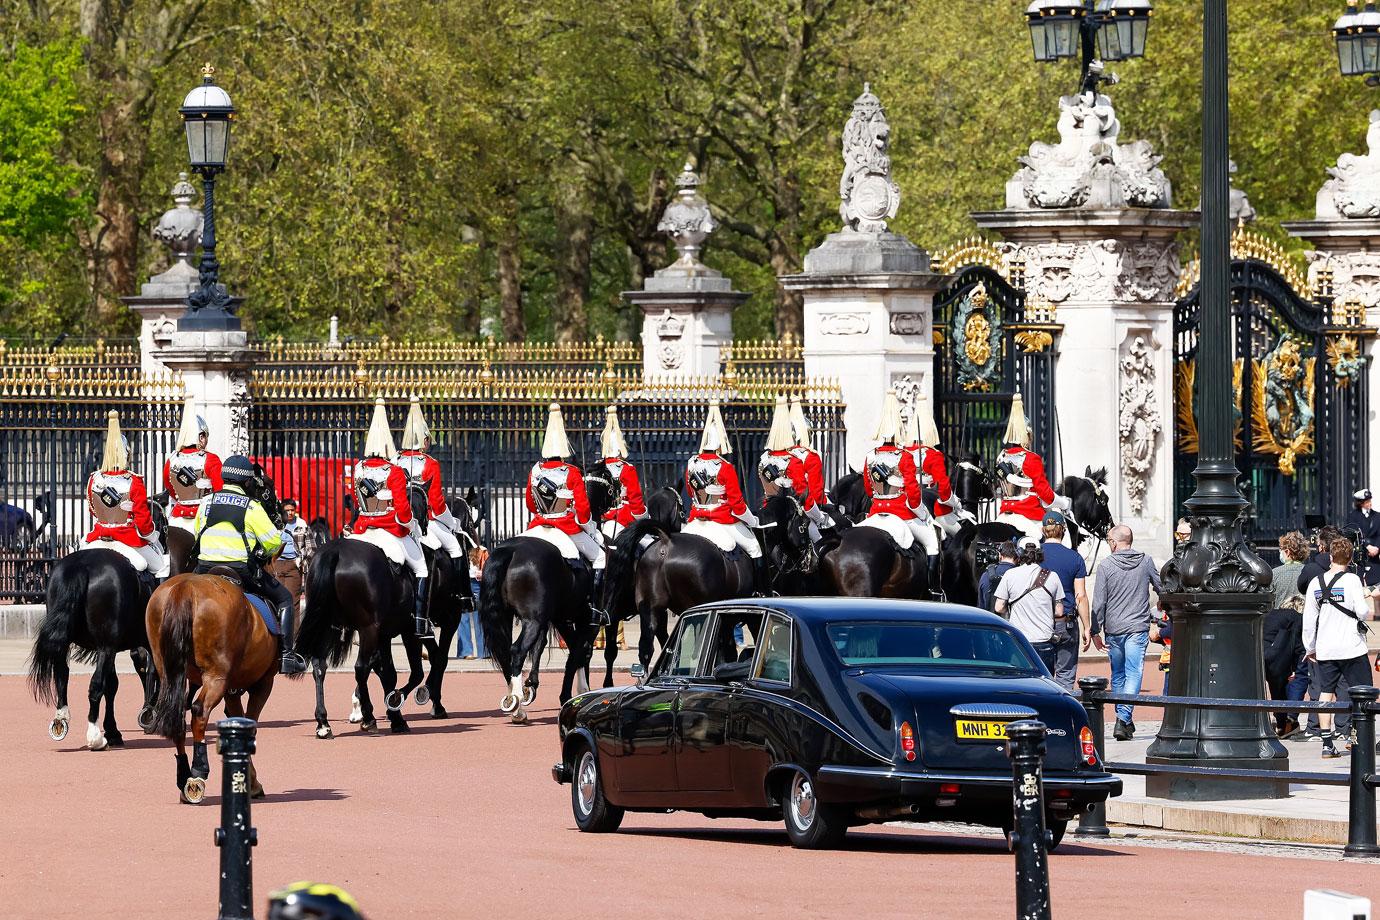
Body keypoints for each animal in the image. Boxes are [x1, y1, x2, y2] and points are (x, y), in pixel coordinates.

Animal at [146, 571, 278, 800]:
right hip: (216, 677)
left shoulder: (232, 692)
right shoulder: (262, 684)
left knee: (177, 716)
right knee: (199, 711)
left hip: (168, 672)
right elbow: (249, 725)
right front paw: (252, 784)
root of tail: (185, 586)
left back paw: (184, 776)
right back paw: (198, 771)